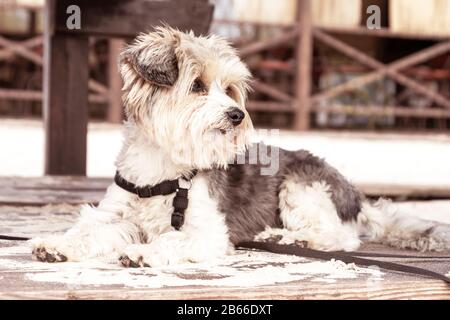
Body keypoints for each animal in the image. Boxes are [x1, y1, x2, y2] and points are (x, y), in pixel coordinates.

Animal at [29, 26, 448, 268]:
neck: (163, 169)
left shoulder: (206, 230)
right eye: (197, 85)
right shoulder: (114, 216)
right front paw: (55, 244)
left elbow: (174, 239)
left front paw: (145, 251)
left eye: (229, 89)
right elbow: (87, 231)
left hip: (301, 188)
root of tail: (356, 195)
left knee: (340, 236)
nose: (236, 114)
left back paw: (285, 237)